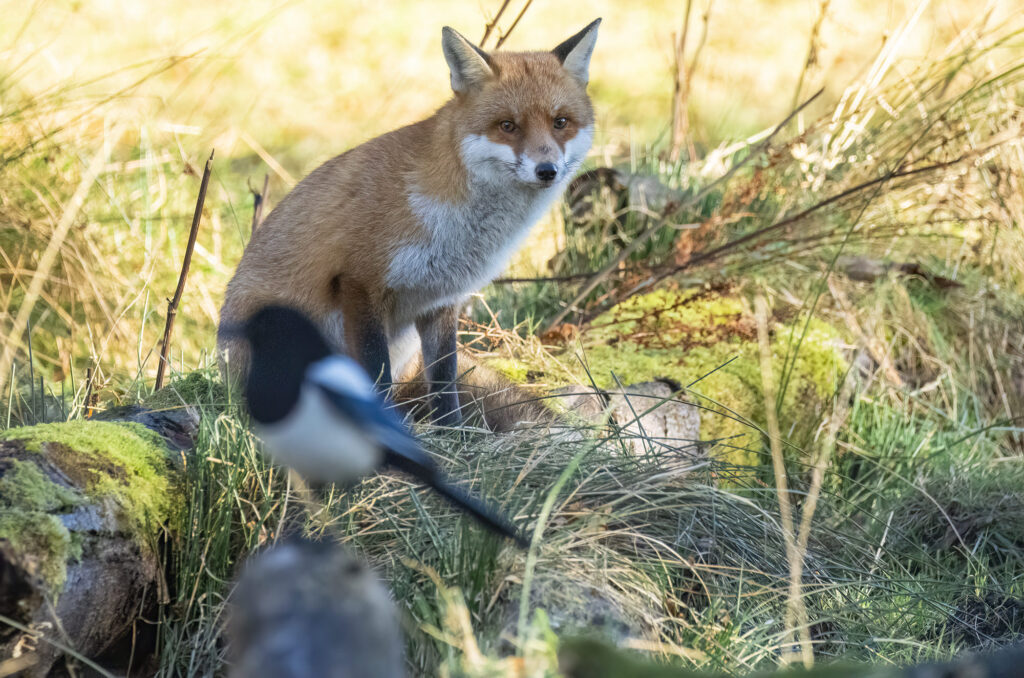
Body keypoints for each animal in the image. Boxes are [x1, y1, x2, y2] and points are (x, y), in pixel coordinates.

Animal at [218, 19, 598, 426]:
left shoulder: (441, 299)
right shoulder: (361, 281)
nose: (547, 170)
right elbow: (376, 373)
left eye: (560, 122)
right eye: (508, 126)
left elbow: (445, 382)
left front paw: (454, 433)